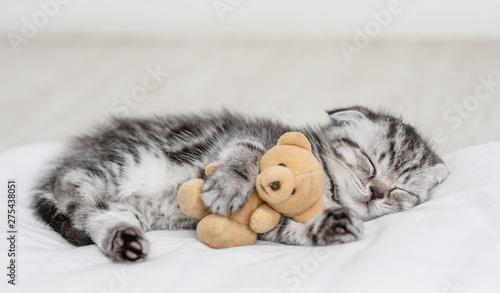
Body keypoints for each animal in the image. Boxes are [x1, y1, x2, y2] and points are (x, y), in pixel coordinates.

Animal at [32, 106, 446, 262]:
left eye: (400, 192)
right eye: (368, 164)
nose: (376, 193)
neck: (326, 187)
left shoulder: (271, 226)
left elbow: (292, 230)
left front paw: (330, 225)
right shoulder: (253, 139)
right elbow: (246, 154)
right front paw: (227, 187)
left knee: (92, 214)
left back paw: (122, 237)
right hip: (125, 160)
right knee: (74, 192)